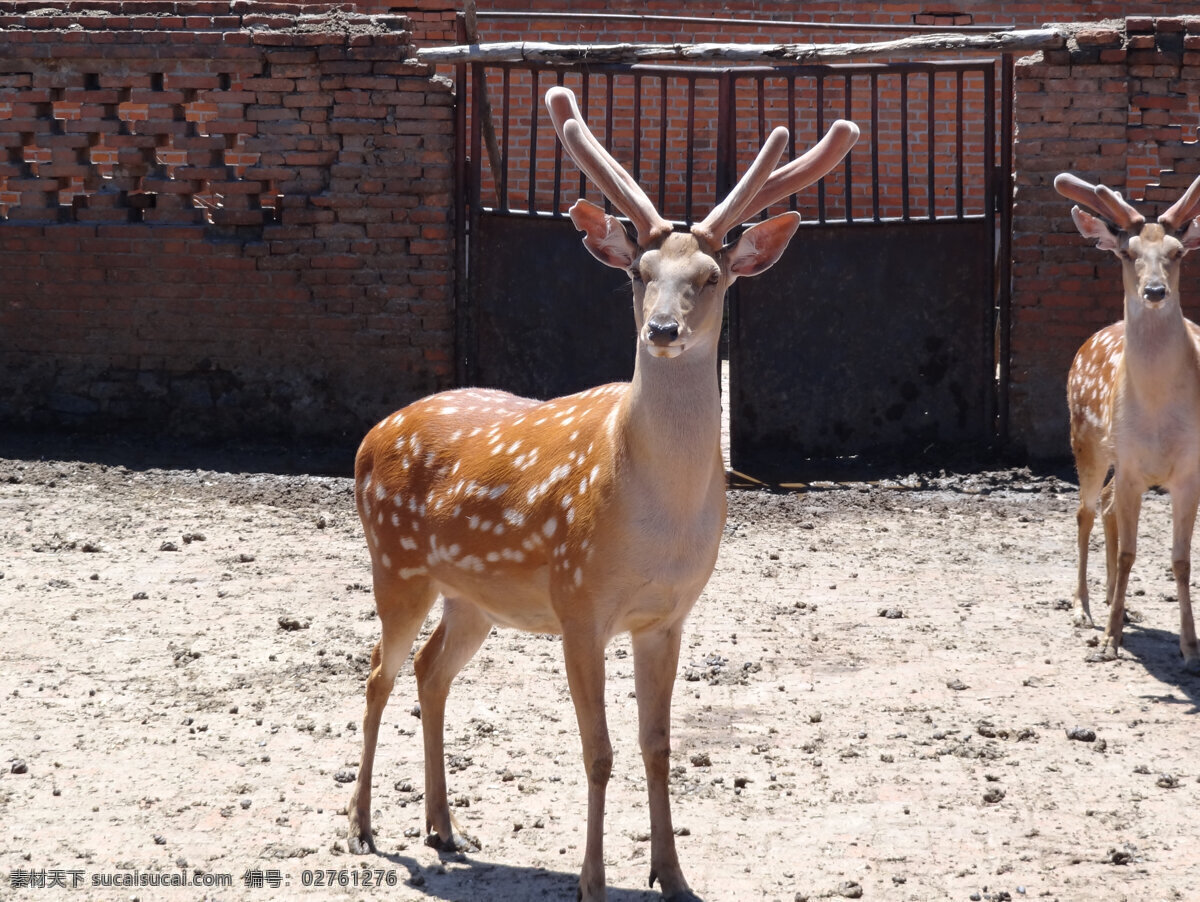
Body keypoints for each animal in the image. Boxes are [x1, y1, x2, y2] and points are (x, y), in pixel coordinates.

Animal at [348, 80, 864, 897]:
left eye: (710, 278)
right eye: (638, 272)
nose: (662, 329)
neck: (657, 522)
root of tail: (370, 437)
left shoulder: (668, 616)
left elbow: (657, 744)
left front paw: (672, 874)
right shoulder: (578, 601)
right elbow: (598, 751)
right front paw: (591, 880)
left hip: (473, 596)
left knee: (430, 673)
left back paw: (443, 827)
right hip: (395, 564)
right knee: (376, 671)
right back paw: (364, 826)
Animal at [1060, 172, 1200, 671]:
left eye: (1178, 252)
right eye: (1126, 251)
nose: (1155, 291)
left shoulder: (1189, 471)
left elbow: (1181, 560)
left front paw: (1189, 647)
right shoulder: (1133, 467)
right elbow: (1127, 552)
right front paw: (1109, 642)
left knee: (1102, 506)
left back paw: (1109, 604)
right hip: (1086, 440)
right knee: (1084, 510)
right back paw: (1083, 608)